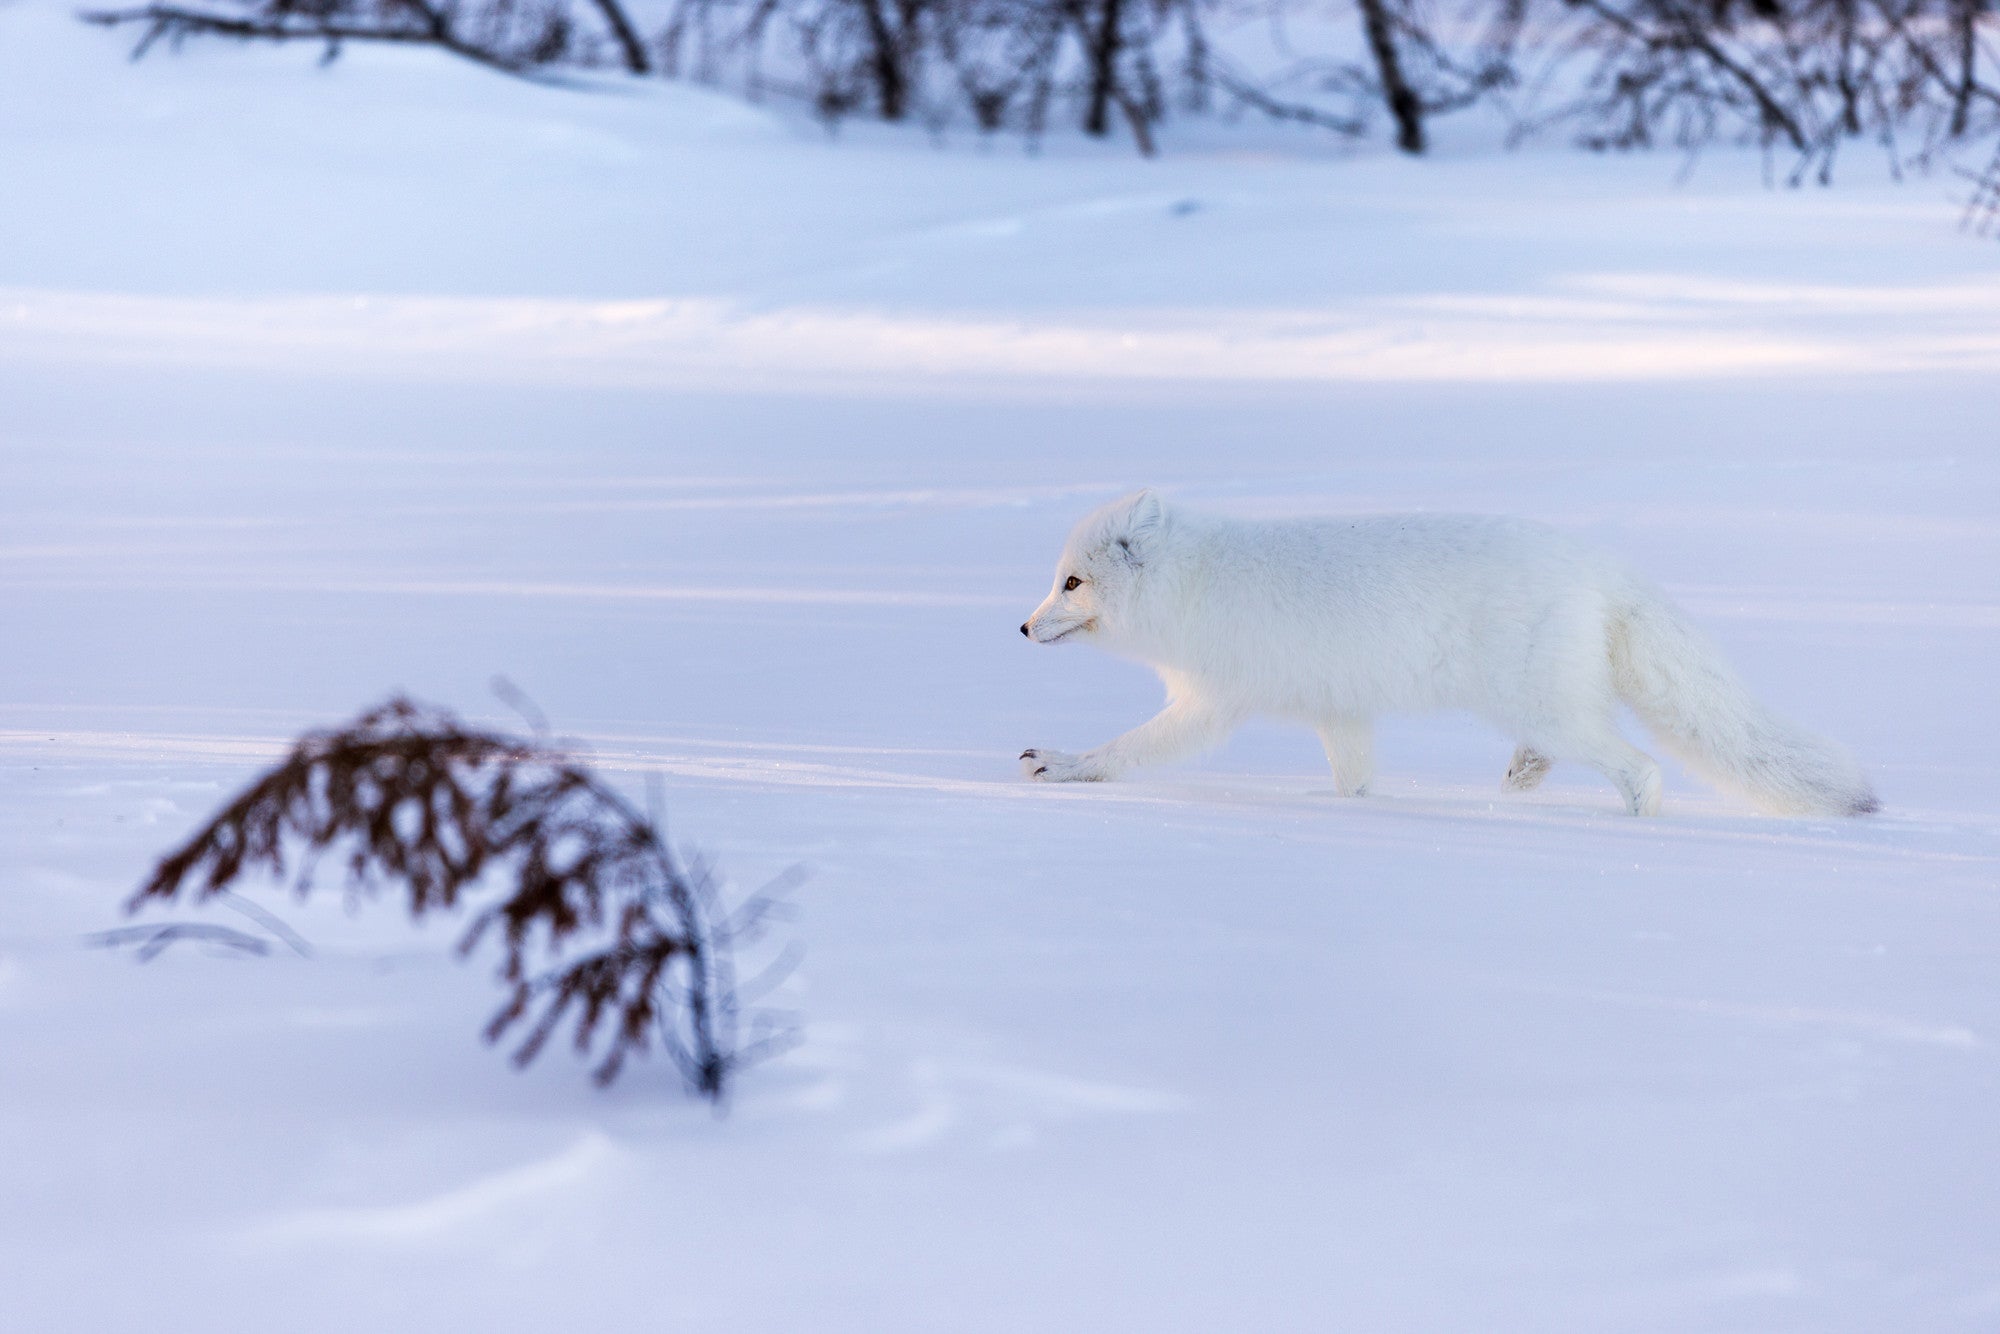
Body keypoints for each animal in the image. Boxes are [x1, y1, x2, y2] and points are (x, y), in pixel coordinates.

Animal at [1016, 490, 1872, 820]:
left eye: (1071, 582)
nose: (1022, 629)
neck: (1195, 581)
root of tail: (1601, 564)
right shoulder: (1339, 710)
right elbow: (1356, 783)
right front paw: (1347, 808)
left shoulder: (1212, 702)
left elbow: (1127, 749)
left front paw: (1061, 764)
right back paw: (1521, 778)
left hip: (1546, 706)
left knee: (1641, 768)